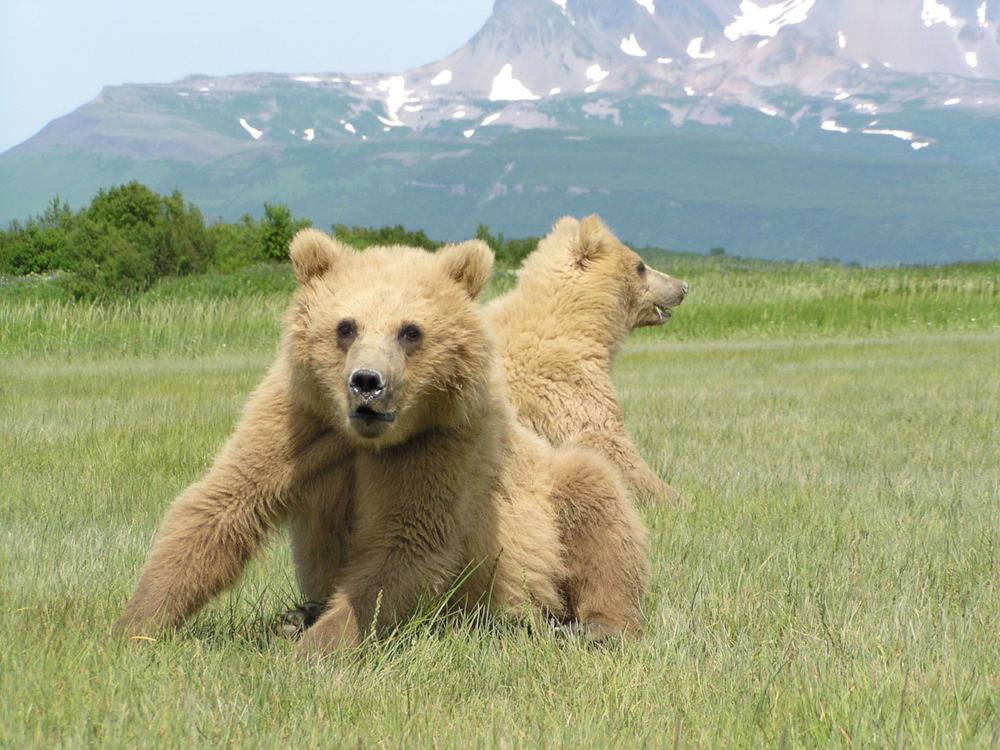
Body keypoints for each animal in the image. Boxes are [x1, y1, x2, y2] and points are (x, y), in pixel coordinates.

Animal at [115, 228, 648, 652]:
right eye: (345, 327)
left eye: (410, 331)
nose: (367, 382)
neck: (367, 441)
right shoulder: (298, 422)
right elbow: (221, 503)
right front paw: (136, 624)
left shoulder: (440, 445)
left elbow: (404, 543)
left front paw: (312, 652)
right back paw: (295, 616)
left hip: (546, 494)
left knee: (597, 502)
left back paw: (598, 627)